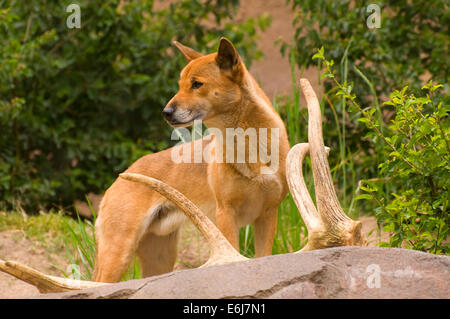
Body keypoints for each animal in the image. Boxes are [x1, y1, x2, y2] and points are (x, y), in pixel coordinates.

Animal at [93, 37, 290, 282]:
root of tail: (121, 177)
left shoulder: (267, 214)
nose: (165, 112)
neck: (249, 147)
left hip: (159, 258)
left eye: (196, 84)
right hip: (119, 253)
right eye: (180, 85)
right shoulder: (226, 214)